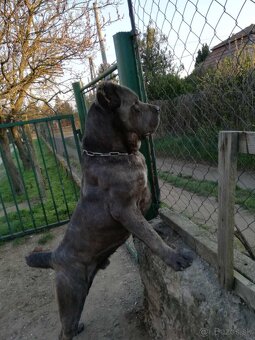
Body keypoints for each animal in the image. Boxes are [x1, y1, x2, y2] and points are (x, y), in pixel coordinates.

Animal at [26, 81, 193, 338]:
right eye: (135, 104)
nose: (157, 108)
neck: (114, 153)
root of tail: (54, 256)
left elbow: (147, 229)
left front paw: (159, 230)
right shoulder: (124, 209)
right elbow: (150, 236)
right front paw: (174, 257)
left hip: (82, 289)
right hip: (71, 292)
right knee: (64, 329)